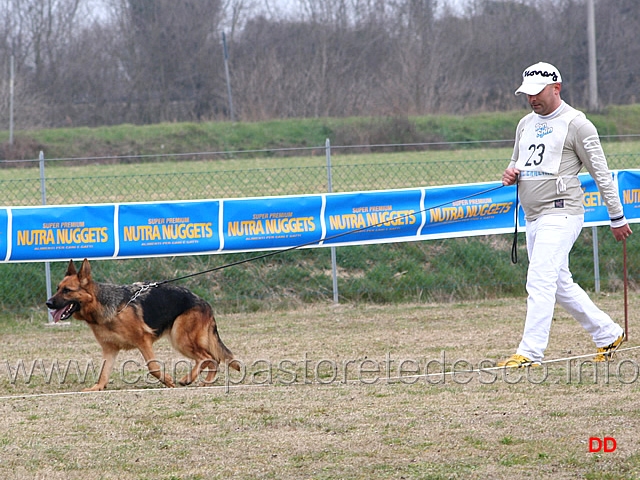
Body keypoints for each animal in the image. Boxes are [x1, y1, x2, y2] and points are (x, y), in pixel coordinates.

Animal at [45, 258, 240, 390]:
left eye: (67, 291)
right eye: (57, 288)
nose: (48, 303)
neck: (102, 306)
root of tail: (205, 303)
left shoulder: (143, 341)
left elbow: (153, 367)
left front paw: (167, 381)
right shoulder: (110, 349)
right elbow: (104, 372)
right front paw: (97, 387)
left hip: (180, 338)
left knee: (207, 357)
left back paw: (189, 379)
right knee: (212, 359)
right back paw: (205, 382)